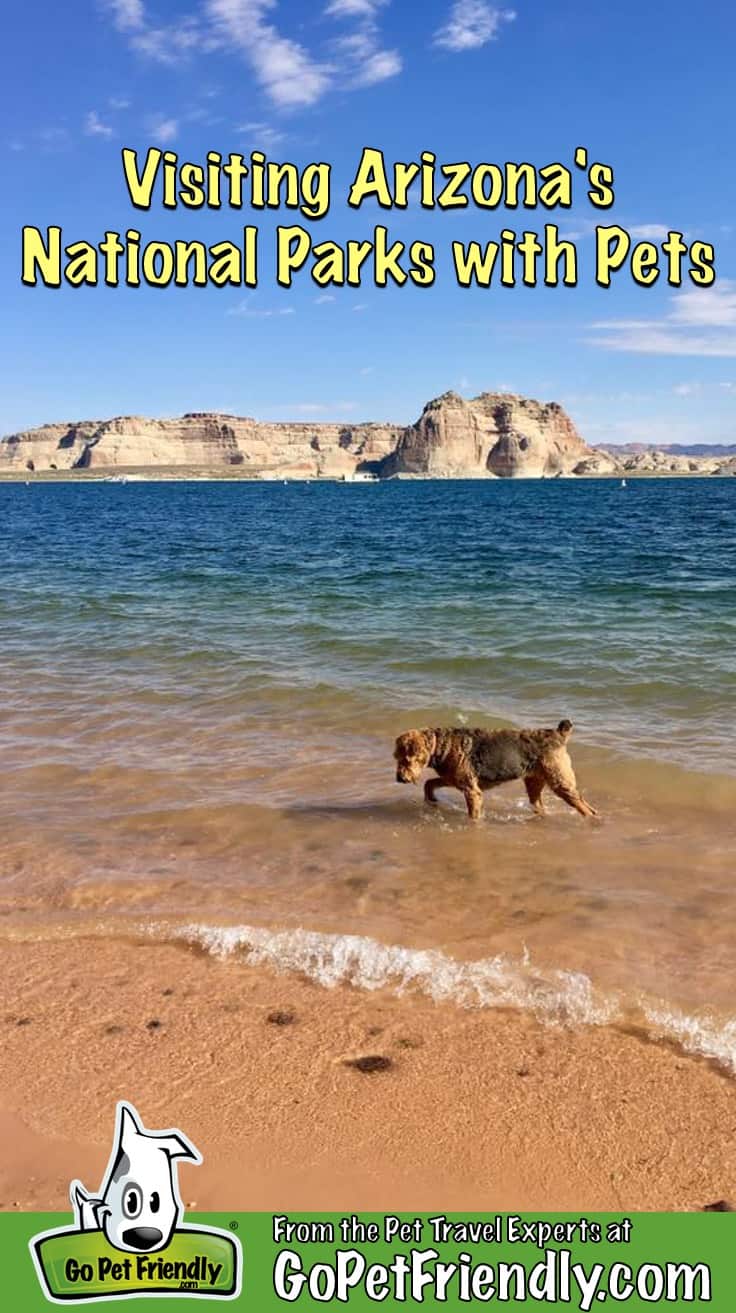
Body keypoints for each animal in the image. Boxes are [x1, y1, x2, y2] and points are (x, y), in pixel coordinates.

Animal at [393, 719, 592, 819]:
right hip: (534, 783)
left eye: (407, 759)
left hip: (560, 782)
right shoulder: (452, 779)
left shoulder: (471, 790)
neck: (441, 746)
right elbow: (429, 783)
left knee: (587, 808)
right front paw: (432, 800)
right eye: (396, 757)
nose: (400, 778)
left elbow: (473, 816)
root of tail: (558, 734)